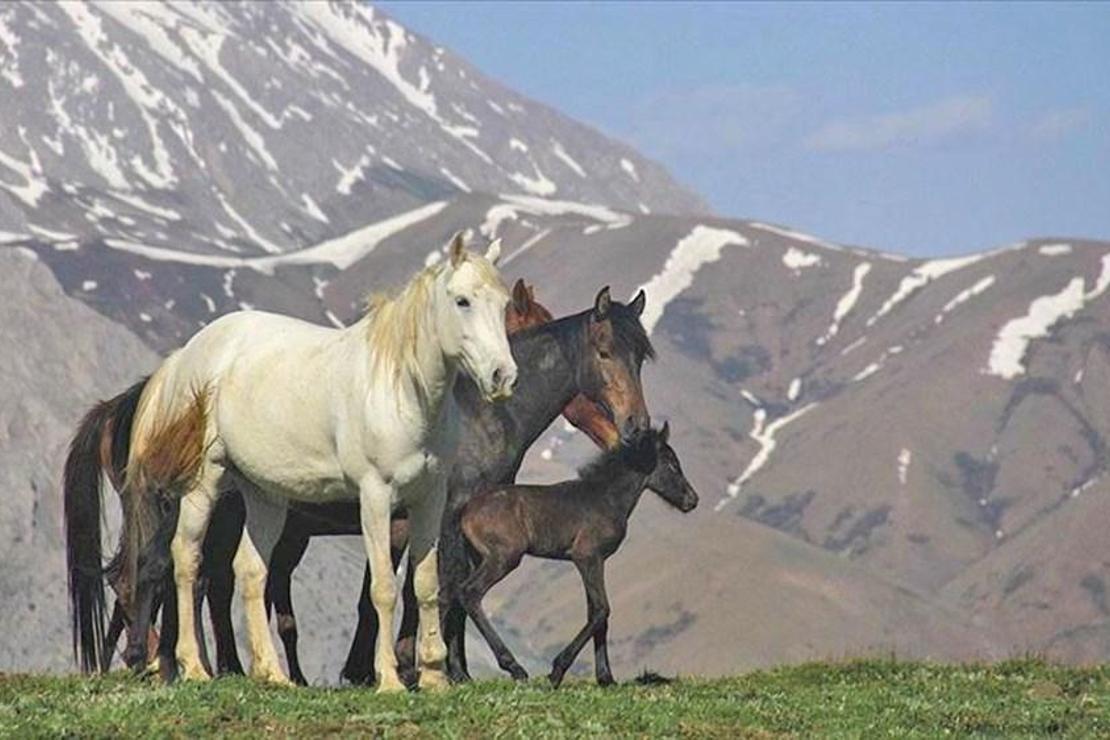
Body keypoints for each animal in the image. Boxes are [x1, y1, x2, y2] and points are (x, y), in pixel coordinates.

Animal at [119, 236, 512, 687]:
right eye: (462, 300)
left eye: (504, 303)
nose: (502, 376)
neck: (399, 391)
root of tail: (187, 354)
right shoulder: (376, 497)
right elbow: (383, 588)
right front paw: (390, 680)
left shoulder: (430, 497)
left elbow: (426, 583)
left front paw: (434, 679)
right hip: (205, 481)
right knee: (186, 559)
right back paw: (194, 667)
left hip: (263, 495)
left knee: (250, 570)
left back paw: (272, 673)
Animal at [455, 421, 697, 687]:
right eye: (672, 464)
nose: (692, 500)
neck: (606, 498)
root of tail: (466, 511)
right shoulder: (587, 556)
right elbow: (601, 610)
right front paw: (557, 672)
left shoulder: (596, 560)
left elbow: (597, 613)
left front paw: (606, 678)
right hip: (504, 557)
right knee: (470, 592)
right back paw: (515, 668)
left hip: (478, 557)